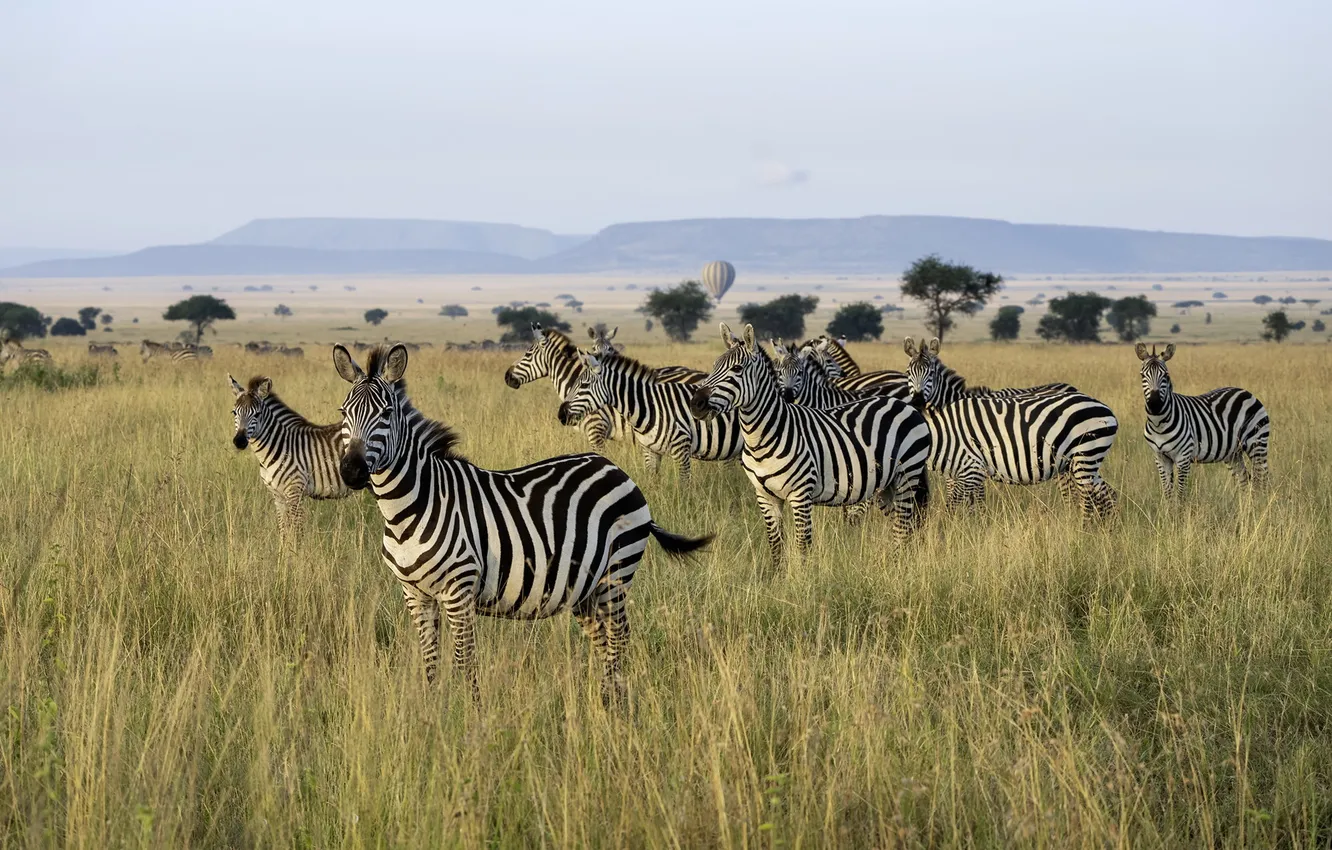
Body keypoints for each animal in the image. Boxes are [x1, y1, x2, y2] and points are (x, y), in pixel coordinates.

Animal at [228, 374, 350, 537]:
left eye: (257, 414)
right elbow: (283, 531)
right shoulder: (277, 496)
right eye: (234, 412)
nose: (239, 441)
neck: (279, 445)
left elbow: (296, 532)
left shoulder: (295, 492)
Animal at [333, 343, 713, 703]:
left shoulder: (458, 590)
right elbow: (430, 663)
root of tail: (615, 469)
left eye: (386, 413)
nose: (351, 471)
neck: (407, 511)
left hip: (616, 572)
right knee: (603, 640)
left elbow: (465, 661)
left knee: (619, 637)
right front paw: (432, 711)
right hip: (586, 587)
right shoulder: (415, 594)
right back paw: (604, 700)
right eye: (343, 413)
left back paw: (615, 706)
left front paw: (469, 715)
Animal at [556, 351, 743, 482]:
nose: (561, 415)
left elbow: (684, 485)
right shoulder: (649, 450)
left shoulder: (681, 449)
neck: (651, 407)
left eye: (584, 385)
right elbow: (652, 481)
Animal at [689, 323, 931, 566]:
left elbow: (802, 546)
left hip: (907, 476)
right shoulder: (765, 497)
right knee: (902, 527)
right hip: (886, 485)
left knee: (903, 529)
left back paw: (899, 566)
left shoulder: (801, 495)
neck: (762, 437)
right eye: (714, 366)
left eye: (737, 369)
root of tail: (904, 404)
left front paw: (802, 576)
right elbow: (776, 546)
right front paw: (777, 575)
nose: (695, 404)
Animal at [1136, 343, 1270, 499]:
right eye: (1142, 375)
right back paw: (1244, 504)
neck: (1159, 424)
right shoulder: (1160, 458)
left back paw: (1260, 502)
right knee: (1243, 479)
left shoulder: (1183, 457)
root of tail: (1246, 392)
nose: (1155, 404)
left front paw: (1181, 505)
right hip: (1233, 453)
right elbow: (1168, 493)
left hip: (1257, 442)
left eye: (1166, 375)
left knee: (1262, 478)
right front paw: (1168, 505)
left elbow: (1181, 494)